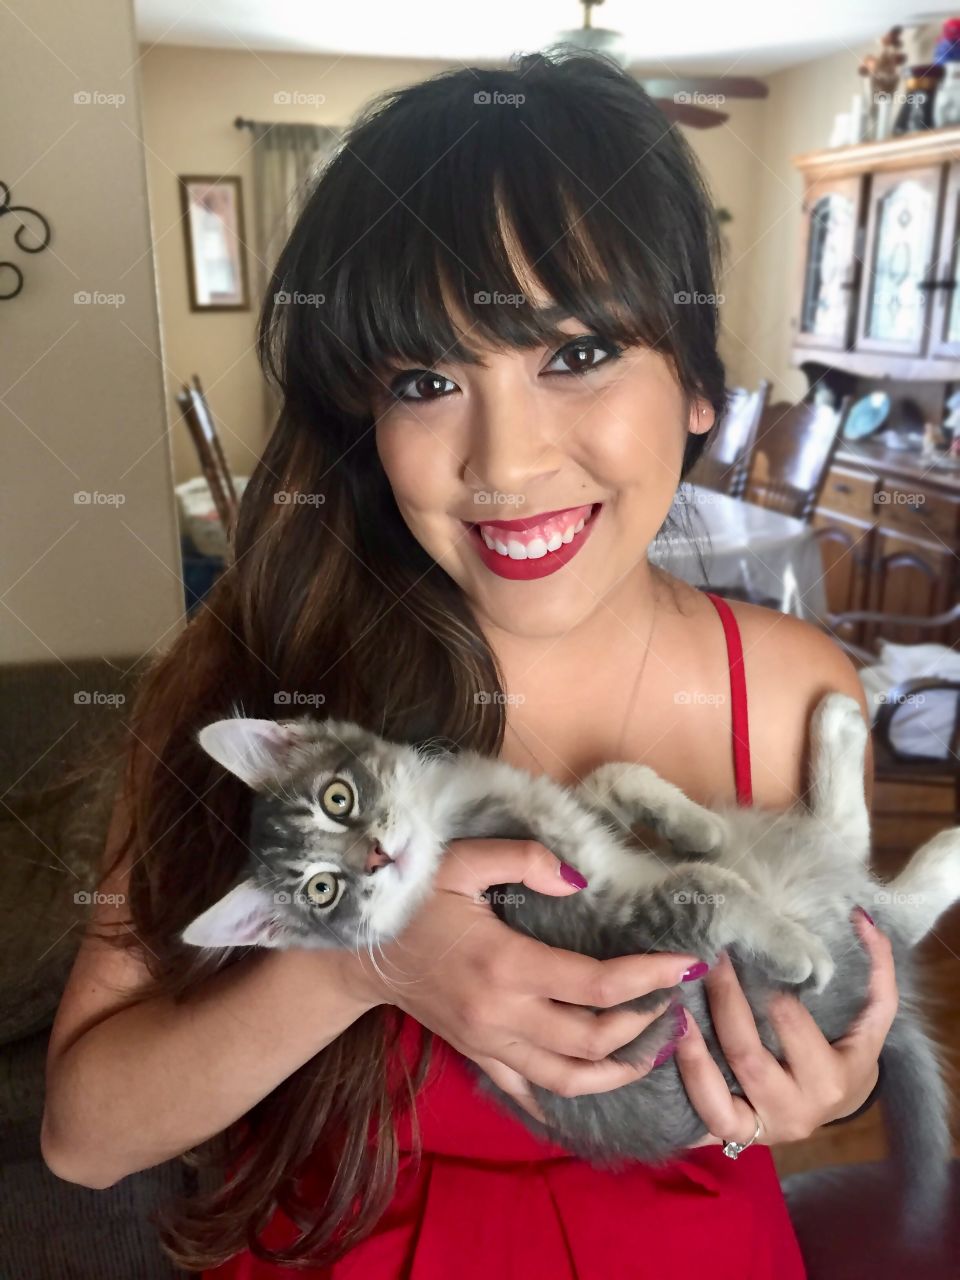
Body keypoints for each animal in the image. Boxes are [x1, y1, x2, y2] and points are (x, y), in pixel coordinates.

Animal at [181, 701, 960, 1228]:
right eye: (323, 891)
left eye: (336, 798)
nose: (375, 857)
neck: (451, 822)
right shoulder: (609, 926)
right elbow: (706, 892)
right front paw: (792, 947)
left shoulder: (582, 841)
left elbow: (609, 777)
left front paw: (688, 821)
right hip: (815, 910)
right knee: (873, 903)